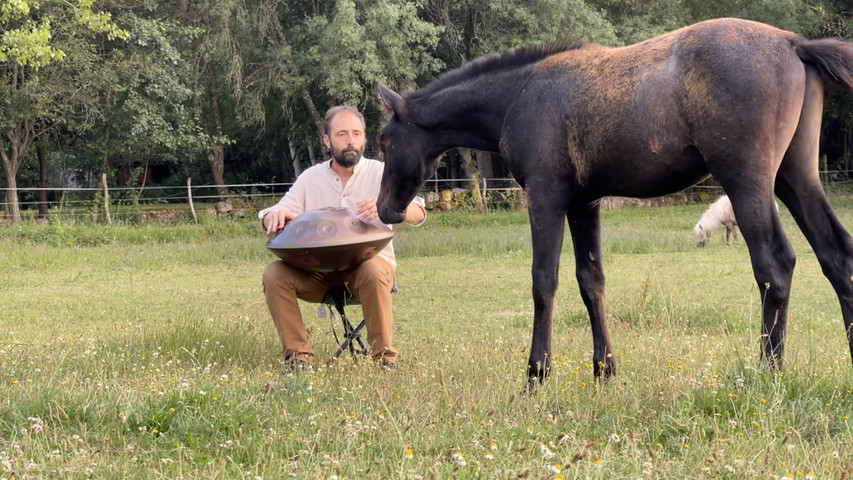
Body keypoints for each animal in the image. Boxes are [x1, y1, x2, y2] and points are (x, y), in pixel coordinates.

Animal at [376, 17, 852, 390]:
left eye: (385, 140)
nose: (385, 209)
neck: (518, 94)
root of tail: (793, 43)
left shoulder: (546, 196)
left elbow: (543, 281)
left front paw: (536, 375)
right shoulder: (584, 203)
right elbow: (592, 281)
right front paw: (604, 370)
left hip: (747, 179)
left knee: (776, 264)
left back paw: (767, 373)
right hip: (795, 176)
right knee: (836, 255)